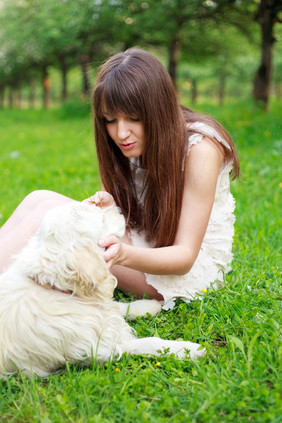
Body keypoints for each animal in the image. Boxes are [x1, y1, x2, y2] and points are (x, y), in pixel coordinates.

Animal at [0, 202, 207, 378]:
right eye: (99, 218)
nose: (120, 208)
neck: (57, 288)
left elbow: (117, 307)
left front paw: (148, 306)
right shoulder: (100, 348)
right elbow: (149, 342)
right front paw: (189, 349)